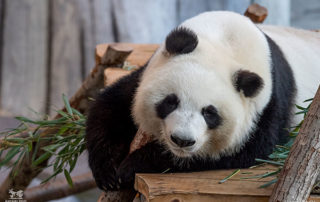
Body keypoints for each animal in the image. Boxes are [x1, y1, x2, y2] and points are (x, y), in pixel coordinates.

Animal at [85, 11, 320, 191]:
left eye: (209, 113)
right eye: (171, 101)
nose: (182, 140)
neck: (228, 40)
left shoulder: (267, 106)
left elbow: (242, 151)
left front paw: (131, 166)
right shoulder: (145, 73)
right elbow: (109, 107)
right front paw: (108, 172)